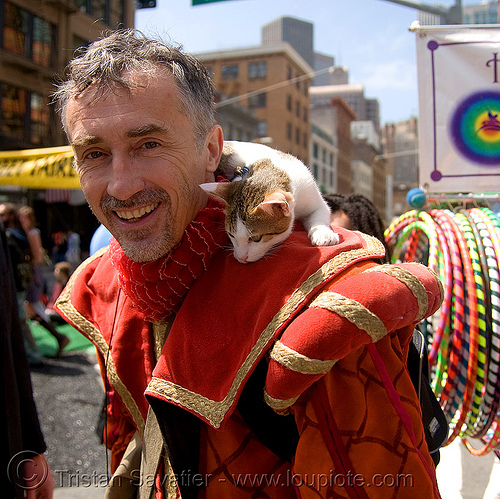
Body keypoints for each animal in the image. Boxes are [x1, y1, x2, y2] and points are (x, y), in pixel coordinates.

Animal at [200, 141, 340, 264]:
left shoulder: (311, 192)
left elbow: (320, 212)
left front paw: (323, 234)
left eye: (256, 238)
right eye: (231, 235)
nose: (240, 258)